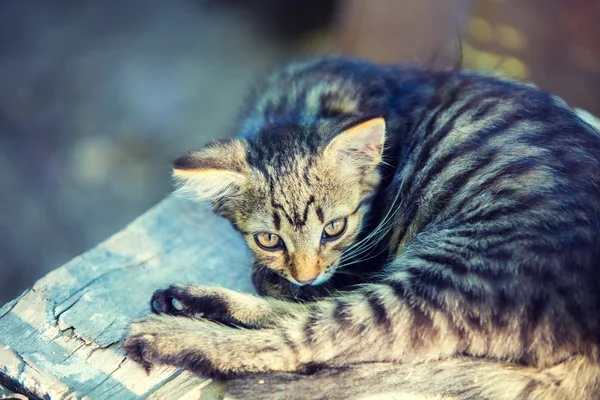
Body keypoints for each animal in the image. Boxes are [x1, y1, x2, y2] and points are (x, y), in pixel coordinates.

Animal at [122, 57, 600, 400]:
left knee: (300, 340)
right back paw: (191, 302)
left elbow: (290, 291)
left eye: (334, 228)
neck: (297, 108)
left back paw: (169, 332)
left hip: (447, 274)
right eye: (268, 239)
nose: (306, 274)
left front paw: (277, 280)